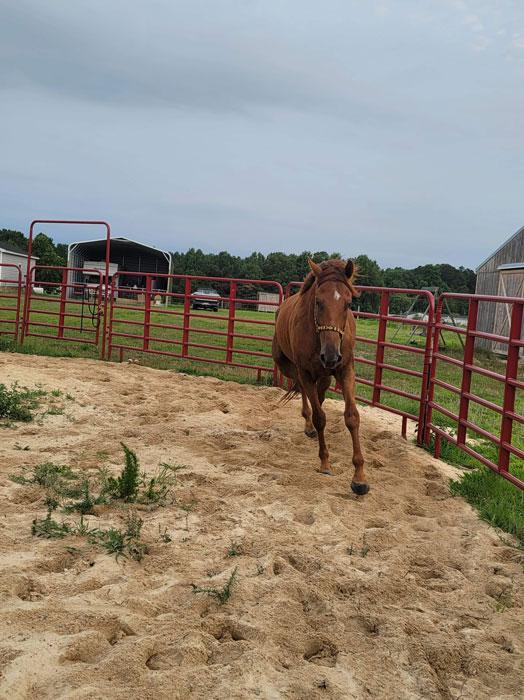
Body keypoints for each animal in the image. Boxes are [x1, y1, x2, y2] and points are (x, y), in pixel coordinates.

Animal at [274, 254, 368, 494]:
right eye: (318, 302)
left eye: (348, 304)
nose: (331, 355)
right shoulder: (306, 372)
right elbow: (319, 417)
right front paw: (325, 462)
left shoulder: (345, 370)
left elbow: (352, 417)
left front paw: (359, 477)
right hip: (289, 366)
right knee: (304, 393)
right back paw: (308, 426)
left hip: (325, 375)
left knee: (319, 394)